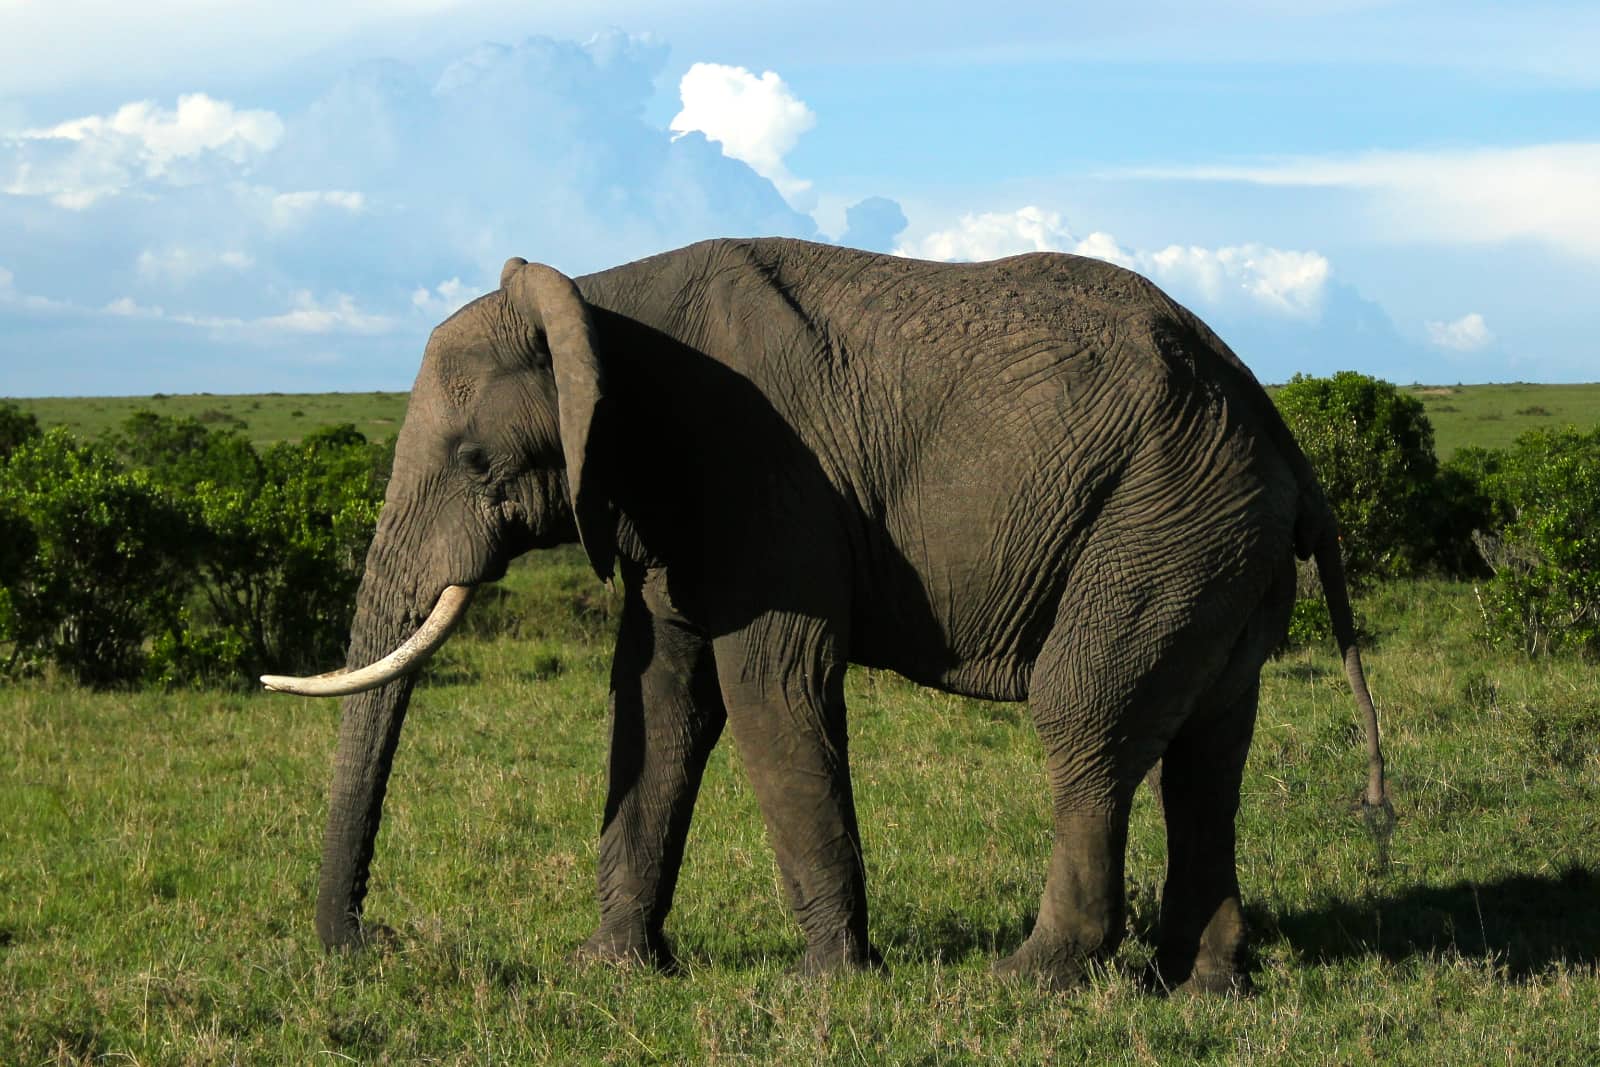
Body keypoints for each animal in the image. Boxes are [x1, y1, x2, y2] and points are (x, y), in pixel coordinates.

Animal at [265, 238, 1388, 998]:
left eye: (473, 462)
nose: (379, 942)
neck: (596, 303)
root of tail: (1283, 438)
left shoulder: (759, 472)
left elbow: (768, 683)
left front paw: (829, 984)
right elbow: (659, 697)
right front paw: (611, 969)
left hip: (1165, 522)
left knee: (1086, 720)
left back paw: (1029, 975)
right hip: (1215, 540)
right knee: (1209, 751)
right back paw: (1204, 981)